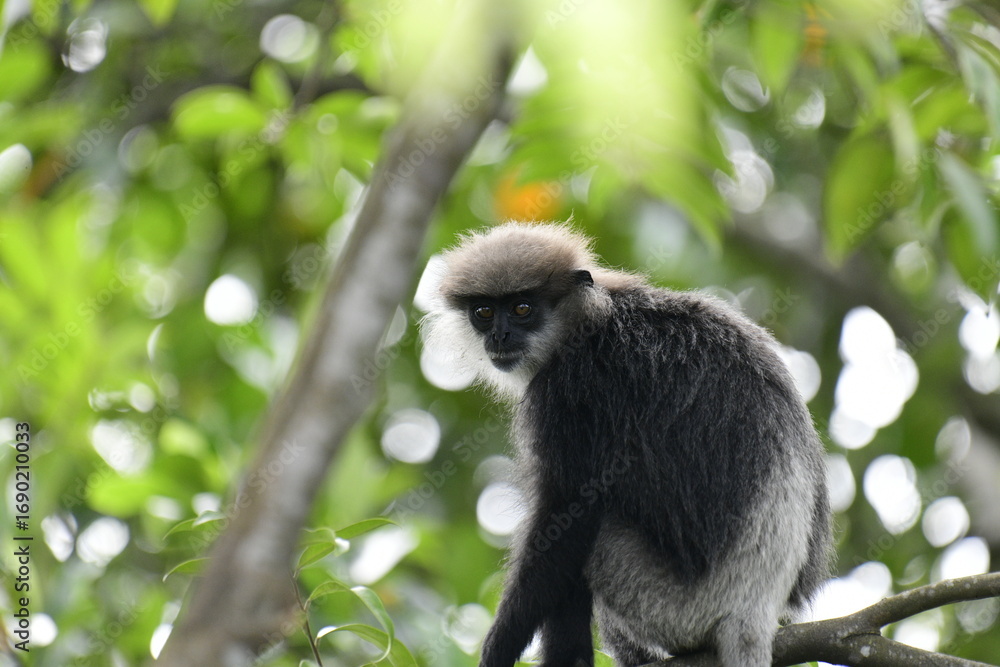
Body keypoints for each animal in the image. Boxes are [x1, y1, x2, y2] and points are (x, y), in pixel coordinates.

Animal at [420, 222, 832, 667]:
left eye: (522, 309)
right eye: (483, 312)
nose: (499, 335)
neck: (595, 316)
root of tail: (755, 611)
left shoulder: (569, 392)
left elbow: (564, 519)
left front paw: (498, 648)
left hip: (673, 603)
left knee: (591, 538)